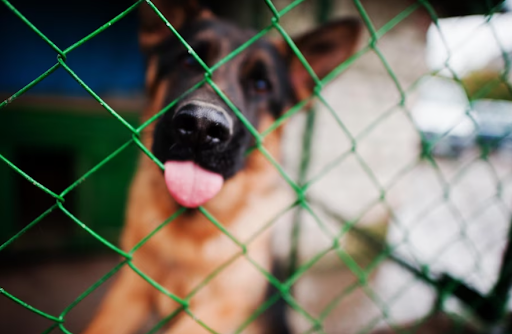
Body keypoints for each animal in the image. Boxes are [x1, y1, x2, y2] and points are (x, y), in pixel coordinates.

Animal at [84, 1, 362, 332]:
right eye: (188, 61)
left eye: (261, 85)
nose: (202, 126)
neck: (188, 235)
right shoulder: (129, 290)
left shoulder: (220, 307)